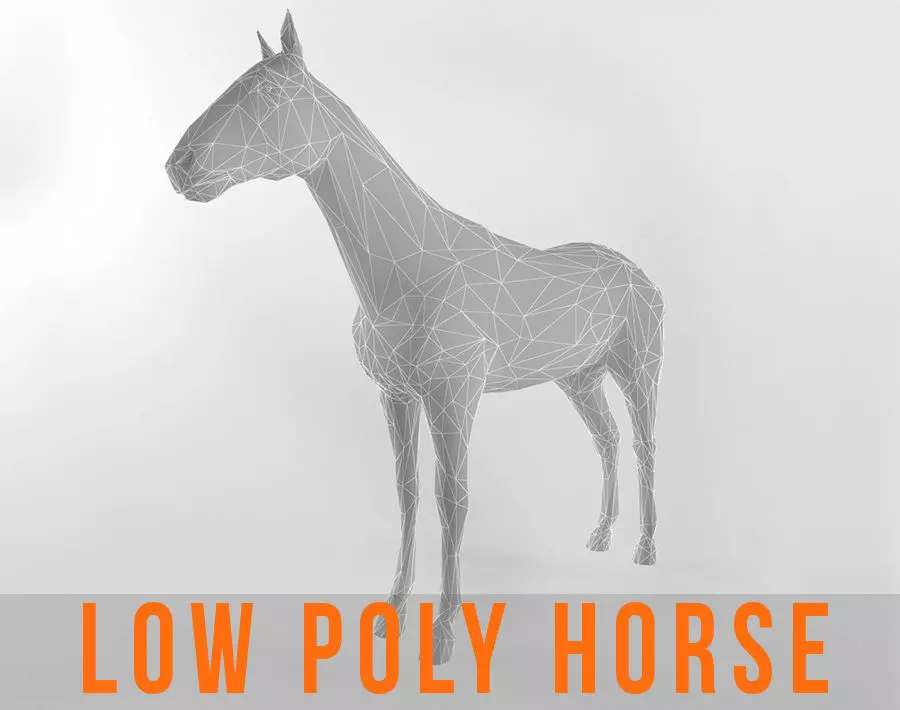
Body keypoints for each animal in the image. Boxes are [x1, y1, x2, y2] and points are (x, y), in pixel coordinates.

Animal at [165, 10, 665, 665]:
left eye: (270, 93)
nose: (180, 166)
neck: (408, 269)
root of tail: (639, 273)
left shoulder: (454, 397)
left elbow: (454, 500)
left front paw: (446, 635)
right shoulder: (397, 395)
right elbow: (408, 496)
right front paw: (391, 617)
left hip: (639, 370)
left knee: (644, 446)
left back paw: (646, 549)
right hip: (578, 378)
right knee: (605, 441)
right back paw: (601, 536)